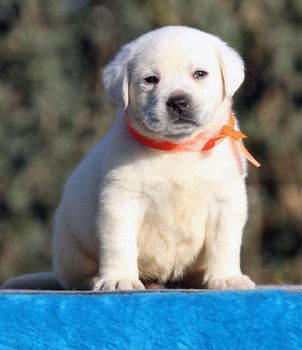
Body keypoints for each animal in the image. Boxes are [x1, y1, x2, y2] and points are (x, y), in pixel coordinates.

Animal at [3, 26, 256, 290]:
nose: (178, 101)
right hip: (70, 248)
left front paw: (226, 277)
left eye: (200, 74)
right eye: (150, 79)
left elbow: (225, 243)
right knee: (75, 277)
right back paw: (95, 278)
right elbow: (119, 243)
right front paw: (118, 278)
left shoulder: (225, 201)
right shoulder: (121, 200)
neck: (178, 148)